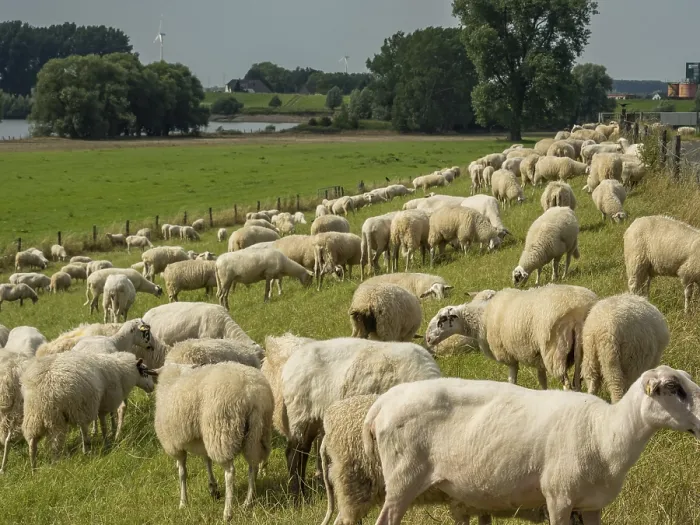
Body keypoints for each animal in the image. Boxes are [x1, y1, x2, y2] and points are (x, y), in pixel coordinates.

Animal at [22, 352, 155, 468]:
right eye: (144, 372)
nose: (152, 387)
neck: (120, 369)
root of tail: (43, 391)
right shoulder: (103, 404)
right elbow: (103, 425)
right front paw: (107, 442)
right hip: (62, 415)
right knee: (57, 445)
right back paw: (61, 462)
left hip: (34, 416)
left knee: (32, 444)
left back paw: (34, 468)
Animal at [154, 362, 272, 518]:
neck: (171, 379)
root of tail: (251, 392)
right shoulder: (202, 439)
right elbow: (207, 461)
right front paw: (213, 488)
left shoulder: (175, 446)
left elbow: (182, 473)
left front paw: (183, 502)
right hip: (256, 433)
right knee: (253, 466)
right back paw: (247, 502)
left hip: (221, 432)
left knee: (230, 472)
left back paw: (227, 512)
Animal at [262, 335, 440, 497]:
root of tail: (291, 359)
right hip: (300, 414)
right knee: (293, 454)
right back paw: (297, 495)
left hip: (312, 419)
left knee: (303, 452)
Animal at [364, 366, 700, 525]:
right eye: (674, 388)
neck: (605, 433)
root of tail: (384, 402)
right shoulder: (558, 497)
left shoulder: (592, 505)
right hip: (402, 480)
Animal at [425, 283, 597, 389]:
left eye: (442, 319)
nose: (427, 339)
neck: (482, 319)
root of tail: (578, 310)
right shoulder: (538, 358)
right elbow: (542, 380)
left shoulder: (509, 356)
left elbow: (512, 381)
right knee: (581, 381)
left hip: (555, 351)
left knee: (568, 384)